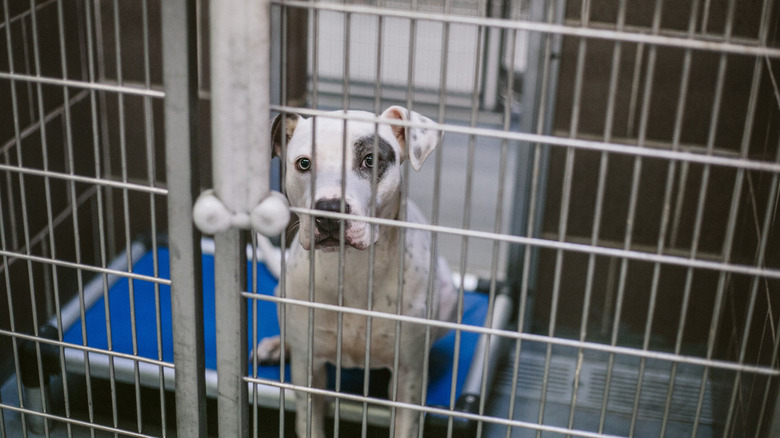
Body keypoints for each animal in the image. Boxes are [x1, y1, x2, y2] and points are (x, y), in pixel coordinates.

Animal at [256, 107, 460, 438]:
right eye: (303, 163)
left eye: (370, 160)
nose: (328, 211)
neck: (351, 268)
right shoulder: (310, 373)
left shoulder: (407, 379)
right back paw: (279, 345)